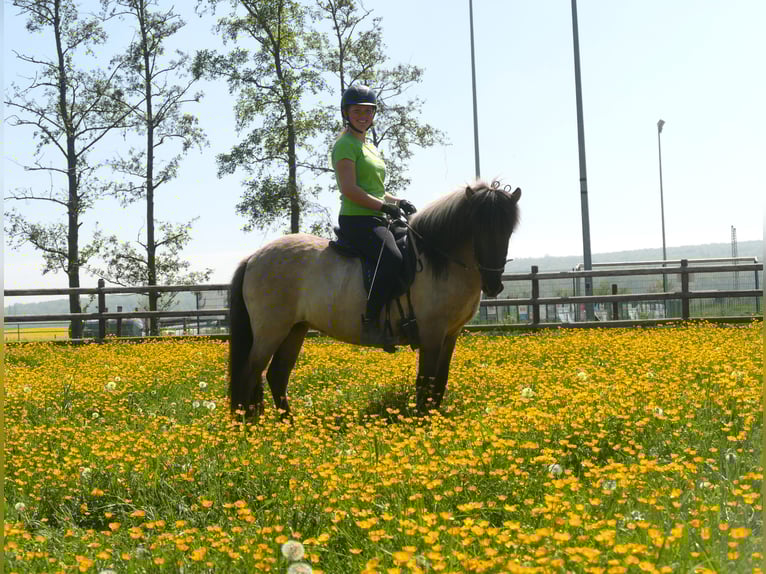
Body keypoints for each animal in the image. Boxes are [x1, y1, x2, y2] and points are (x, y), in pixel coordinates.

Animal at [228, 179, 521, 417]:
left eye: (508, 231)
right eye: (477, 229)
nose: (493, 284)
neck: (438, 259)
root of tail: (254, 258)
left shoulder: (451, 335)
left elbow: (439, 382)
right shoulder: (432, 333)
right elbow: (425, 381)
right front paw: (423, 424)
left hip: (295, 329)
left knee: (277, 375)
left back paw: (288, 426)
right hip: (271, 331)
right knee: (250, 374)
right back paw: (248, 429)